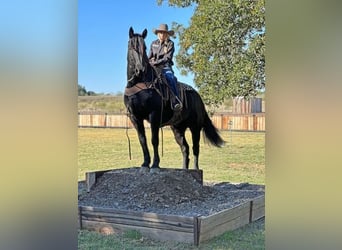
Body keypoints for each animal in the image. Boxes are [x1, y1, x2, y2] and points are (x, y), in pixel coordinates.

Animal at [123, 27, 224, 172]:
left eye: (144, 46)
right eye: (131, 46)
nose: (140, 69)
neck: (139, 83)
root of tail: (198, 97)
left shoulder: (154, 115)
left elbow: (154, 140)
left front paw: (155, 164)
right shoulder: (135, 117)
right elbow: (142, 140)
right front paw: (145, 163)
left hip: (195, 127)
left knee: (195, 148)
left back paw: (196, 169)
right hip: (177, 128)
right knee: (185, 148)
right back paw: (184, 169)